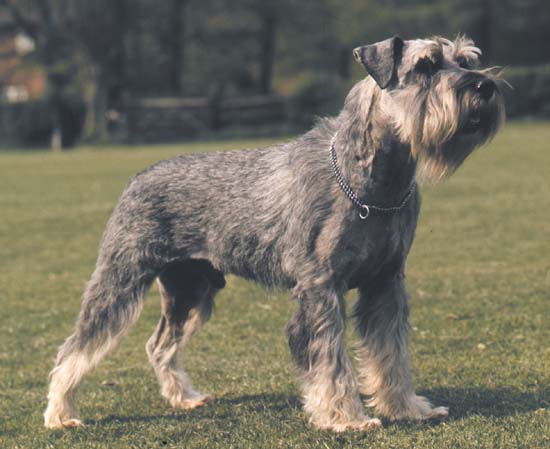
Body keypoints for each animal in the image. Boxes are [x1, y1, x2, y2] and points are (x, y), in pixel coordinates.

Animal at [44, 36, 504, 430]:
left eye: (466, 60)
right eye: (425, 66)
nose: (485, 87)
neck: (375, 179)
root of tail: (137, 177)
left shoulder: (386, 285)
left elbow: (390, 354)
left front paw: (407, 407)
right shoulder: (320, 289)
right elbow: (330, 360)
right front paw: (345, 418)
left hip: (192, 290)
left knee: (160, 346)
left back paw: (184, 398)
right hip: (119, 281)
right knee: (75, 347)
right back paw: (60, 413)